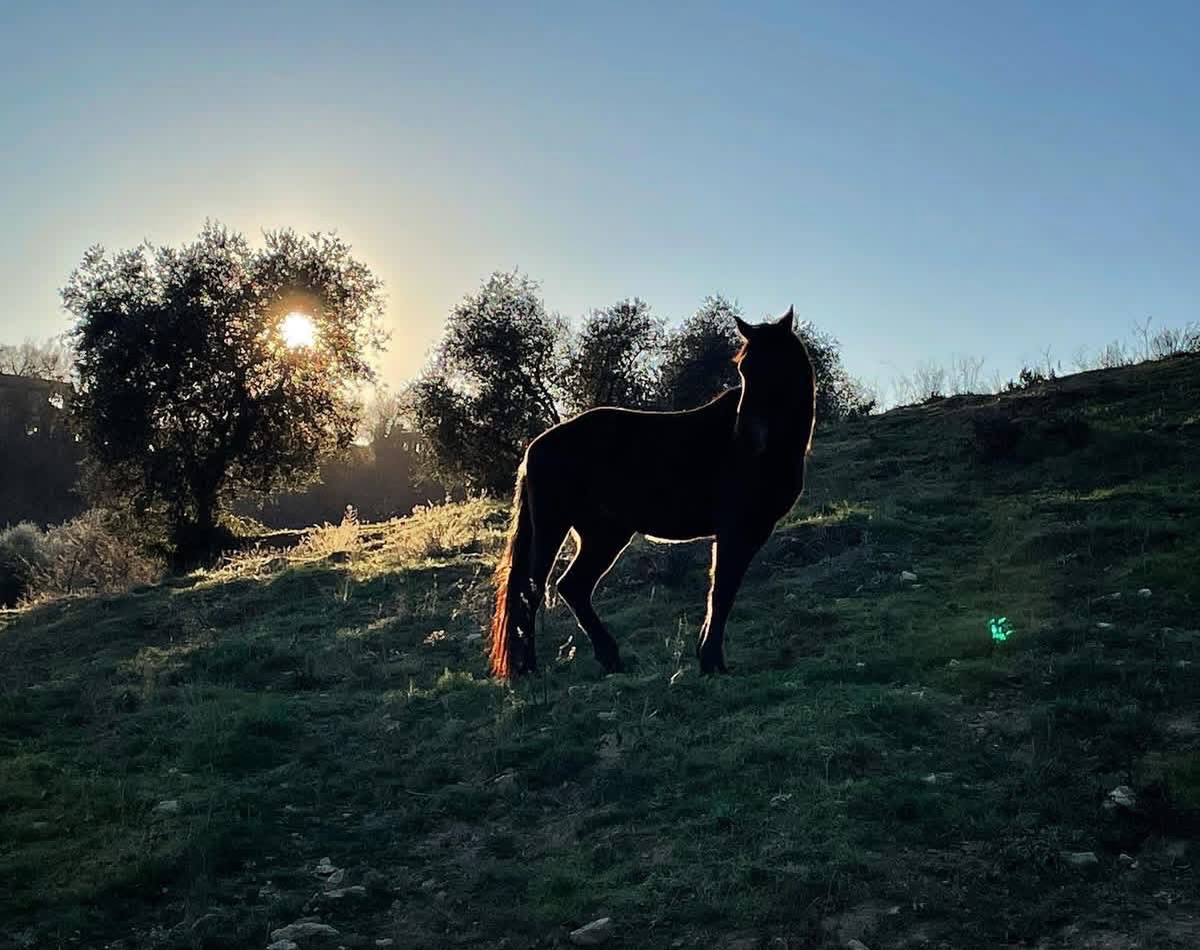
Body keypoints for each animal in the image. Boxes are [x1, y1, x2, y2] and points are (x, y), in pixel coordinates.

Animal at [488, 306, 817, 679]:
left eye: (775, 364)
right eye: (744, 369)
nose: (745, 433)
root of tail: (535, 446)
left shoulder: (750, 530)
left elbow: (723, 590)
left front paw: (708, 658)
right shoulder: (735, 529)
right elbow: (722, 590)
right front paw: (711, 661)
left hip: (605, 533)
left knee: (573, 586)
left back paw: (611, 659)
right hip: (554, 526)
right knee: (532, 590)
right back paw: (529, 667)